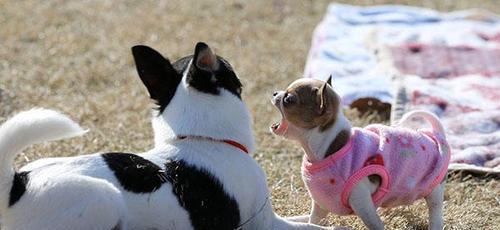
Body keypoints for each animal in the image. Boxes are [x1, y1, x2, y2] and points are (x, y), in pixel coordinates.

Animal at [0, 42, 336, 229]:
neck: (201, 139)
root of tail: (16, 186)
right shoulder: (266, 224)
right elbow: (320, 229)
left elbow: (309, 220)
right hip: (104, 198)